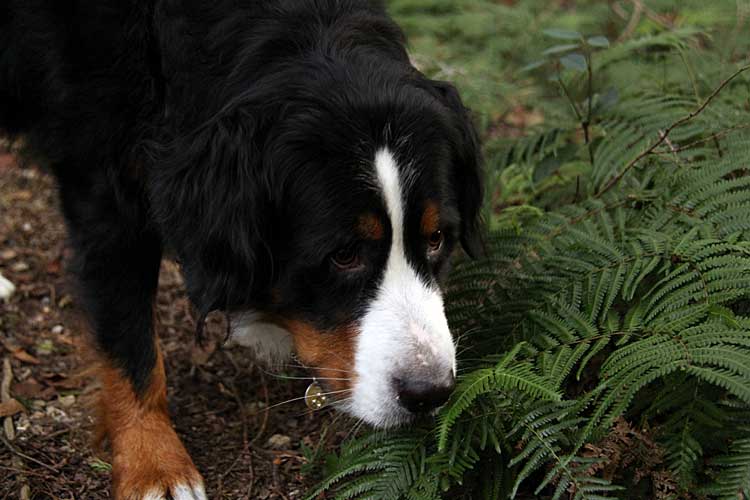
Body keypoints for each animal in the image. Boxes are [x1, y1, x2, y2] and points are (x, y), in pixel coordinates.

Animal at [0, 1, 484, 498]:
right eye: (344, 255)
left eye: (436, 238)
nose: (430, 392)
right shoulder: (105, 189)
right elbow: (130, 342)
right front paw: (154, 464)